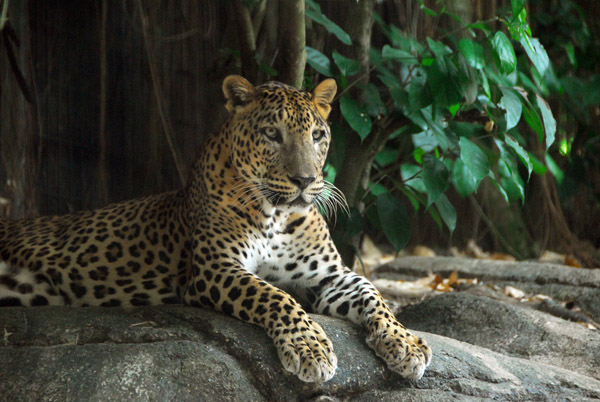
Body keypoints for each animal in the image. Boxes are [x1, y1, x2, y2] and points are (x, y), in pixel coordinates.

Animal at [0, 76, 432, 384]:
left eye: (318, 136)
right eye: (272, 134)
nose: (305, 180)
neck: (277, 216)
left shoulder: (329, 275)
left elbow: (373, 293)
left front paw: (405, 342)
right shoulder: (216, 269)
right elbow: (274, 296)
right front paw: (309, 348)